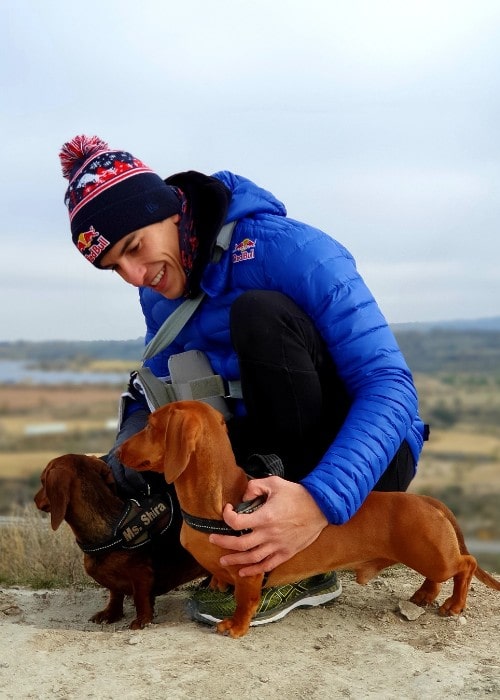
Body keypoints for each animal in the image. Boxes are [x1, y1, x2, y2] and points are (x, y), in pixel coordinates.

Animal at [34, 454, 204, 628]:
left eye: (42, 481)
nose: (34, 499)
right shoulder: (115, 585)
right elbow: (115, 594)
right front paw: (111, 613)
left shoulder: (142, 574)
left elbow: (141, 597)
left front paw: (142, 620)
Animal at [118, 402, 500, 636]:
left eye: (150, 426)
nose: (118, 451)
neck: (219, 500)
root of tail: (426, 499)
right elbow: (218, 577)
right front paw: (214, 588)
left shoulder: (250, 571)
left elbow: (244, 601)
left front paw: (236, 625)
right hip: (428, 556)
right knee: (441, 575)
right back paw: (423, 595)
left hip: (433, 555)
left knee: (465, 565)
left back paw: (454, 604)